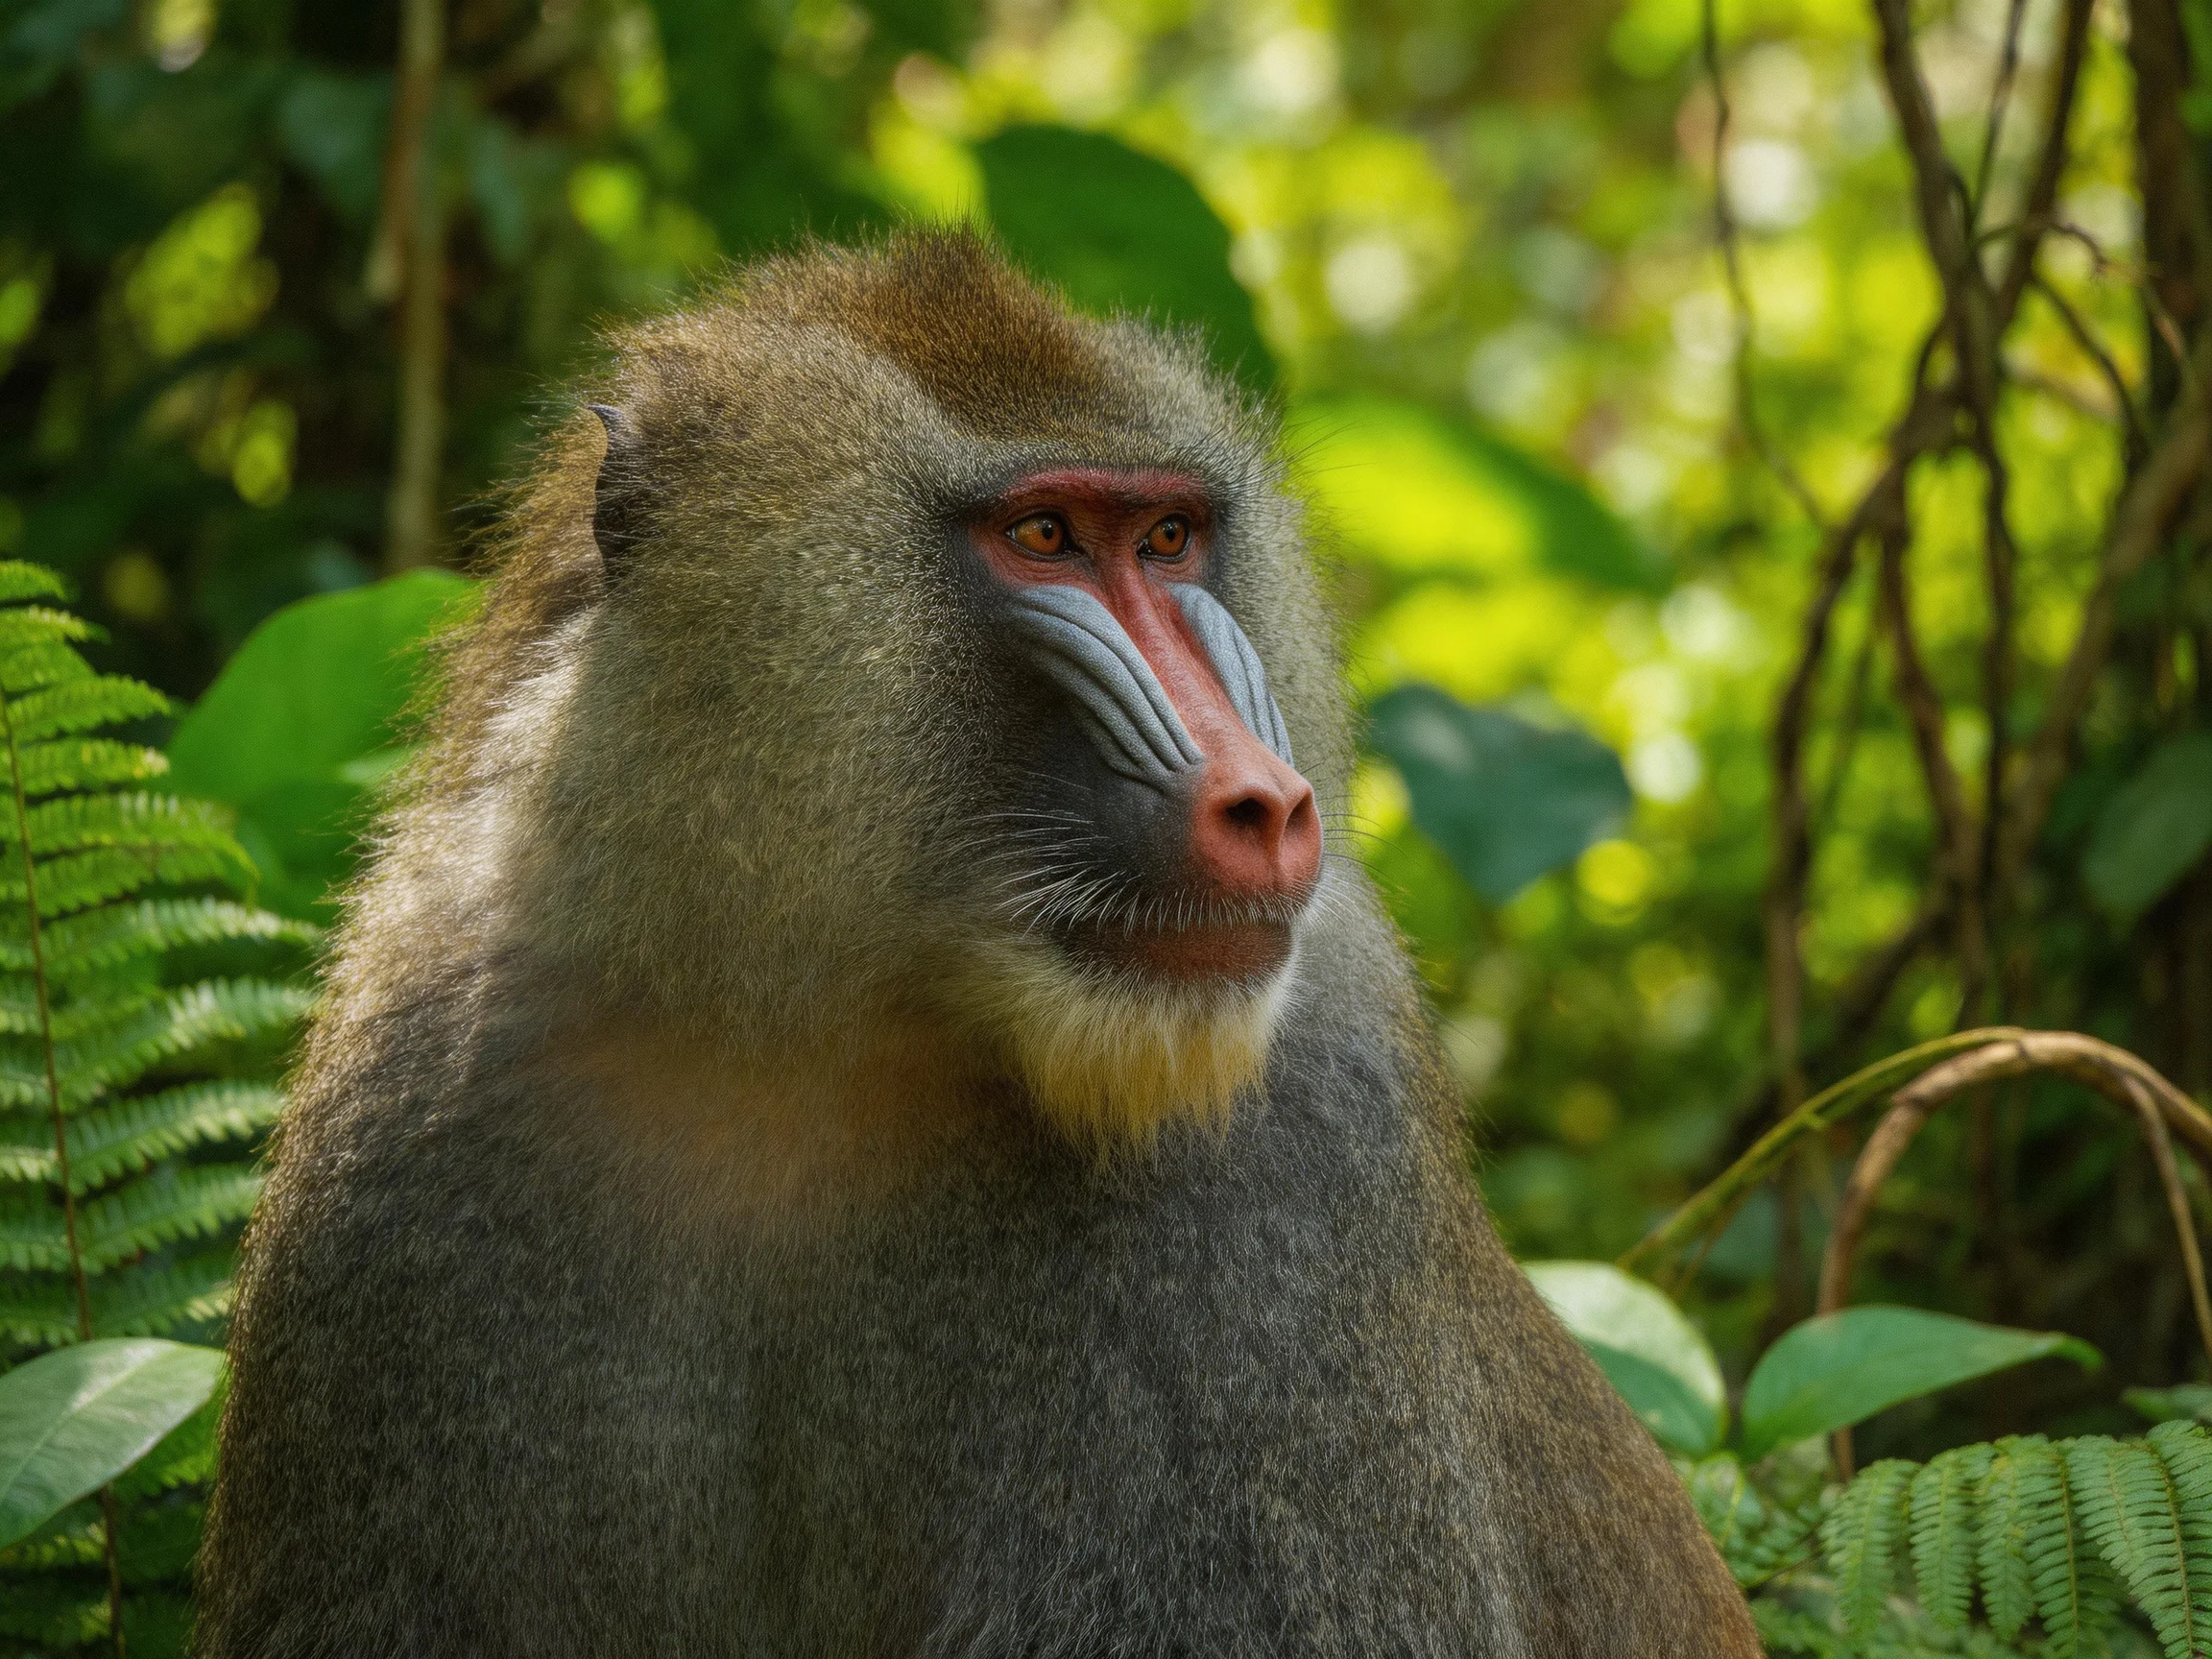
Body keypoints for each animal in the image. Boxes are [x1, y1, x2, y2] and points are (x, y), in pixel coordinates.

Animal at [196, 231, 1761, 1658]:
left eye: (1169, 540)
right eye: (1045, 538)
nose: (1265, 801)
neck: (819, 1036)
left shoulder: (1297, 1160)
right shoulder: (414, 1105)